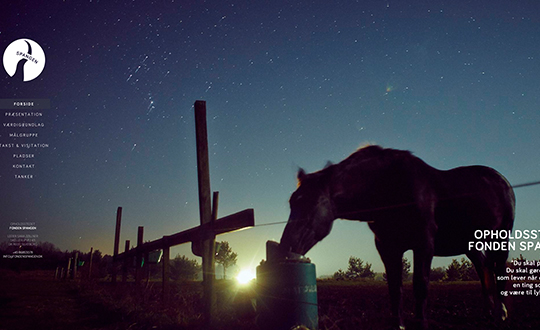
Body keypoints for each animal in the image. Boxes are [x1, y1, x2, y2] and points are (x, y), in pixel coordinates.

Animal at [280, 145, 516, 330]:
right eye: (292, 202)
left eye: (314, 202)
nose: (287, 246)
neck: (390, 187)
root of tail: (502, 180)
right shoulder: (387, 247)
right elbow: (395, 288)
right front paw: (398, 325)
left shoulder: (424, 244)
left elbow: (420, 286)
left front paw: (421, 325)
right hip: (471, 245)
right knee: (483, 268)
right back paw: (488, 312)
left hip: (500, 238)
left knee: (498, 269)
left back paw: (501, 314)